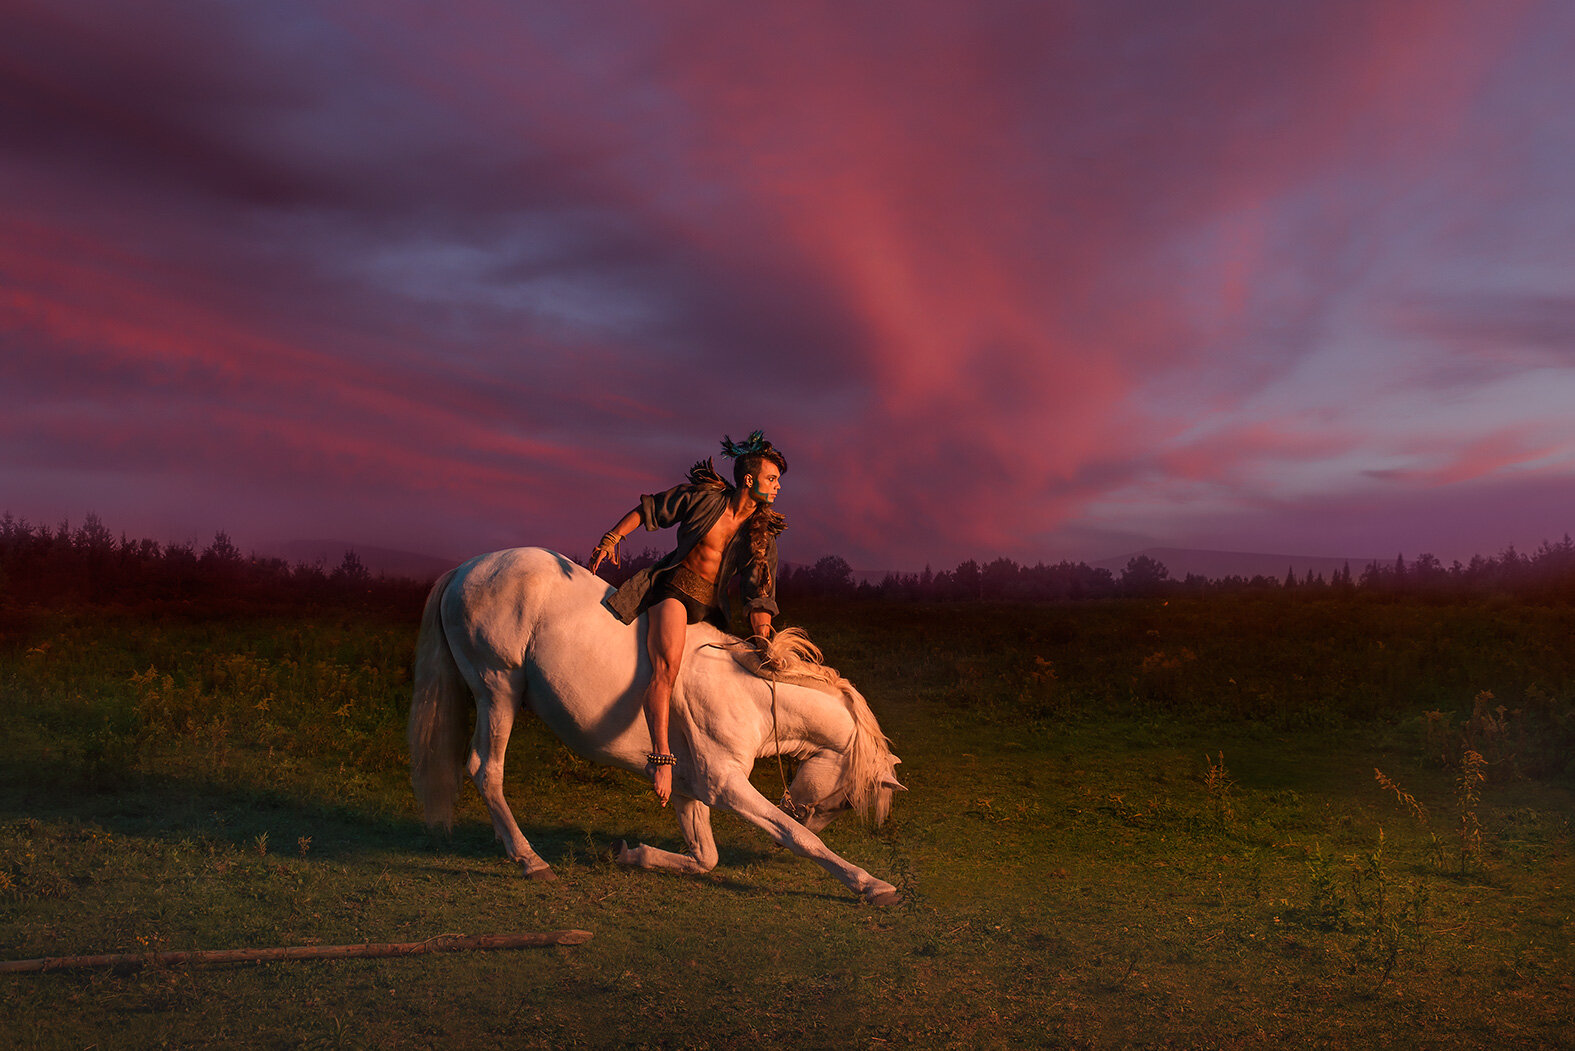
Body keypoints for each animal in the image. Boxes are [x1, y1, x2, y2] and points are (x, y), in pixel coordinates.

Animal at [406, 551, 907, 907]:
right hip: (498, 690)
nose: (805, 812)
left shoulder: (691, 790)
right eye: (846, 800)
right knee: (485, 769)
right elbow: (795, 836)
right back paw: (530, 859)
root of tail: (467, 568)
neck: (750, 695)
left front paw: (631, 854)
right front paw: (870, 884)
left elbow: (705, 858)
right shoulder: (726, 786)